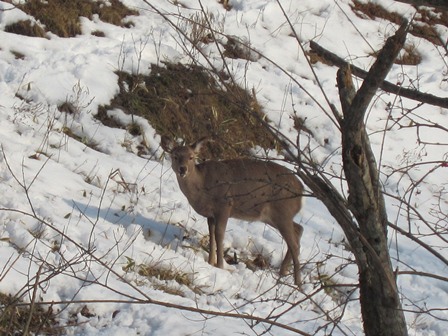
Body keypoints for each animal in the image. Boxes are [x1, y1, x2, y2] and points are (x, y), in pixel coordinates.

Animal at [161, 136, 304, 286]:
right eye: (175, 156)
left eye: (191, 157)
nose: (183, 169)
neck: (203, 187)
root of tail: (301, 189)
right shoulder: (210, 215)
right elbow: (211, 235)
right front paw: (210, 262)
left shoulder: (225, 206)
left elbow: (219, 234)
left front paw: (220, 266)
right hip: (273, 216)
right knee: (298, 230)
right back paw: (283, 273)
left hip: (282, 211)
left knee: (294, 243)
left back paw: (297, 282)